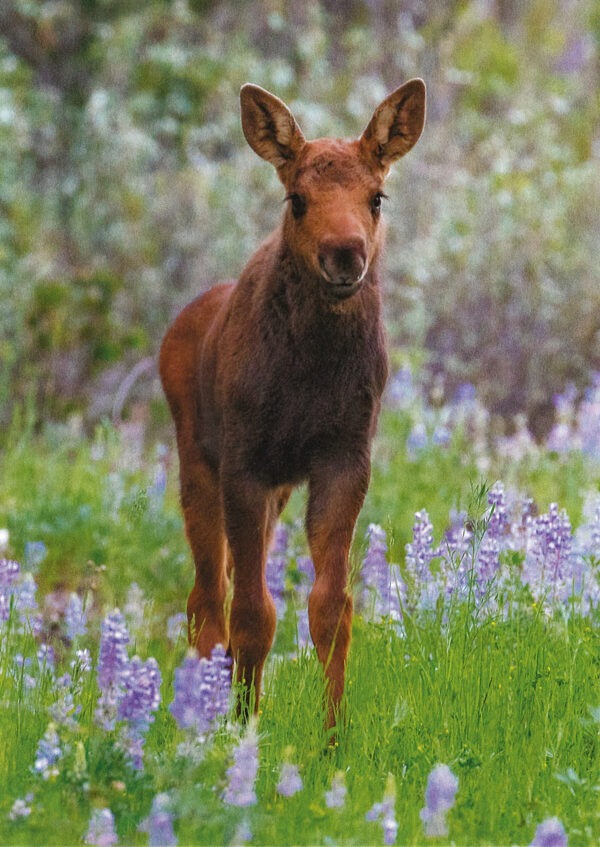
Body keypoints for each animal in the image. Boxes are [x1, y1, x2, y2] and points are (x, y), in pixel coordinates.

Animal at [159, 79, 426, 728]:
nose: (344, 254)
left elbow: (331, 608)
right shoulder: (245, 463)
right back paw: (200, 712)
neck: (311, 375)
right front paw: (241, 724)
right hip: (197, 463)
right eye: (297, 198)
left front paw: (332, 733)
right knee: (207, 598)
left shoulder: (344, 458)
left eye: (377, 196)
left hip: (277, 489)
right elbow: (255, 612)